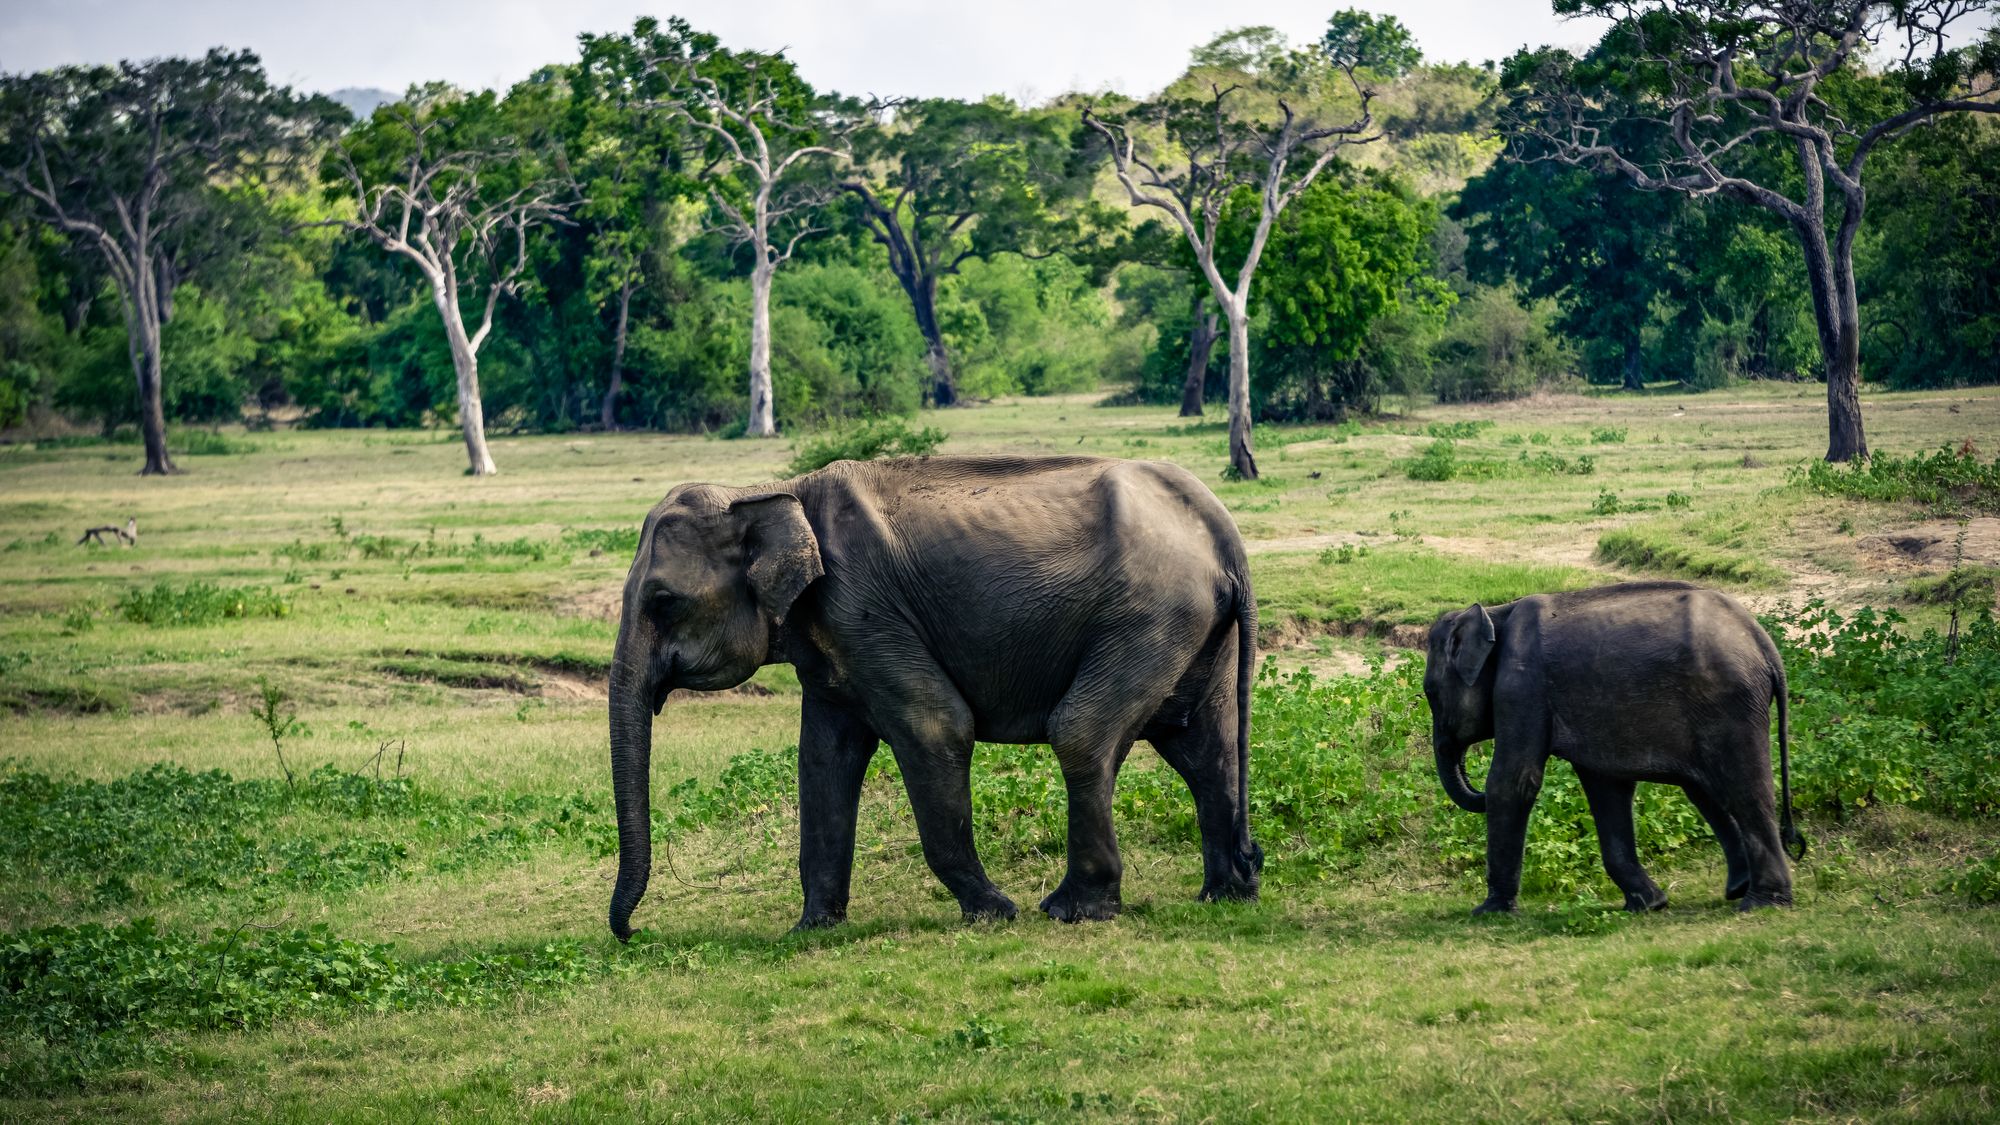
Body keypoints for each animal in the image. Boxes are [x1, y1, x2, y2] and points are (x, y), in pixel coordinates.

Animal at [608, 456, 1264, 936]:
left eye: (662, 602)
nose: (634, 932)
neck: (772, 490)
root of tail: (1222, 531)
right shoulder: (834, 636)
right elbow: (823, 759)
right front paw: (811, 931)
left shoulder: (863, 609)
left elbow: (936, 727)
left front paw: (995, 914)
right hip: (1195, 627)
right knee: (1203, 748)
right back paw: (1226, 894)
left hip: (1150, 615)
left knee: (1083, 734)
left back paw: (1071, 911)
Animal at [1432, 576, 1808, 912]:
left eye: (1432, 697)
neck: (1497, 613)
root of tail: (1764, 643)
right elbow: (1606, 788)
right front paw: (1649, 905)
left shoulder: (1522, 687)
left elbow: (1513, 781)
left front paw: (1488, 911)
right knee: (1707, 787)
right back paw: (1739, 889)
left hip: (1729, 702)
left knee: (1744, 788)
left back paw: (1761, 903)